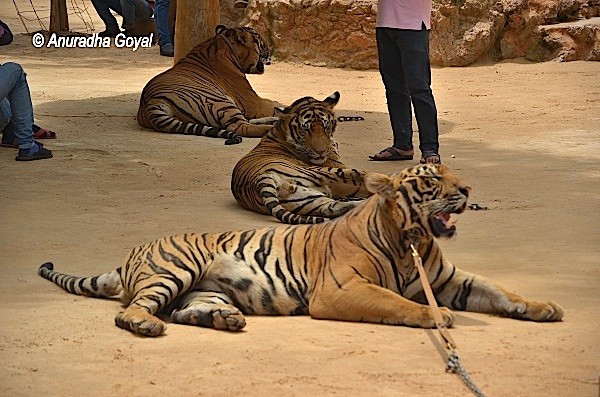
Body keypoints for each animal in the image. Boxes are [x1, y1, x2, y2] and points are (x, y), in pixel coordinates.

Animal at [37, 162, 564, 336]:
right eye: (434, 181)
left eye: (454, 175)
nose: (468, 190)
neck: (410, 237)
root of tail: (131, 254)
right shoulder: (340, 288)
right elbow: (394, 302)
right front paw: (436, 317)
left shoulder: (450, 280)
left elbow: (501, 290)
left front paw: (544, 306)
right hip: (174, 270)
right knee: (133, 311)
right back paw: (146, 325)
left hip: (205, 289)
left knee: (185, 310)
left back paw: (225, 320)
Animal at [138, 24, 282, 144]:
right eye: (261, 42)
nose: (270, 51)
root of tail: (152, 103)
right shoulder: (252, 102)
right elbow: (274, 105)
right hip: (219, 101)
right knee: (240, 127)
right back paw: (272, 127)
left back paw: (275, 121)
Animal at [230, 91, 370, 224]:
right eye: (306, 130)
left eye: (325, 126)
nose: (320, 152)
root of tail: (260, 180)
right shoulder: (336, 166)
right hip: (320, 172)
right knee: (361, 176)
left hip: (309, 200)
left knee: (334, 207)